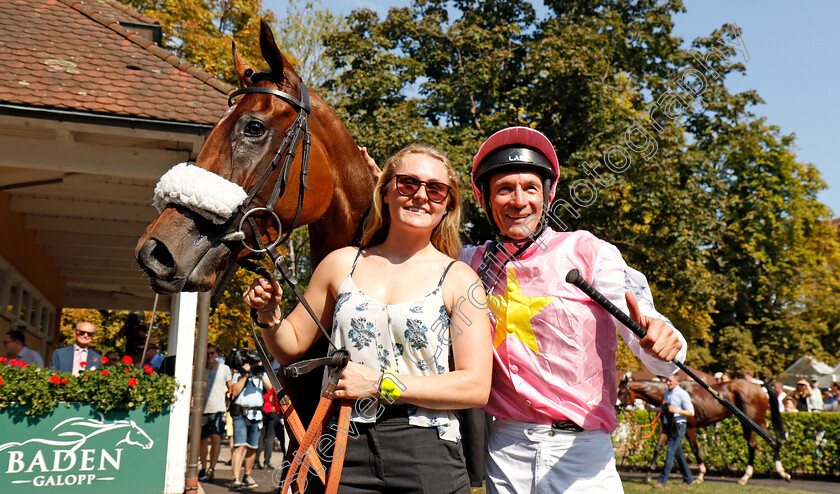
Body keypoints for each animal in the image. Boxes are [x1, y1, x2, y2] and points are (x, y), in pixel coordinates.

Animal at [616, 380, 788, 484]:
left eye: (621, 391)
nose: (616, 407)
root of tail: (760, 387)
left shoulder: (690, 427)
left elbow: (695, 449)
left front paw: (700, 474)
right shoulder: (667, 427)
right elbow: (658, 448)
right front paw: (648, 474)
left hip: (753, 421)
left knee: (764, 443)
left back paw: (761, 474)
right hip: (754, 422)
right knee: (764, 443)